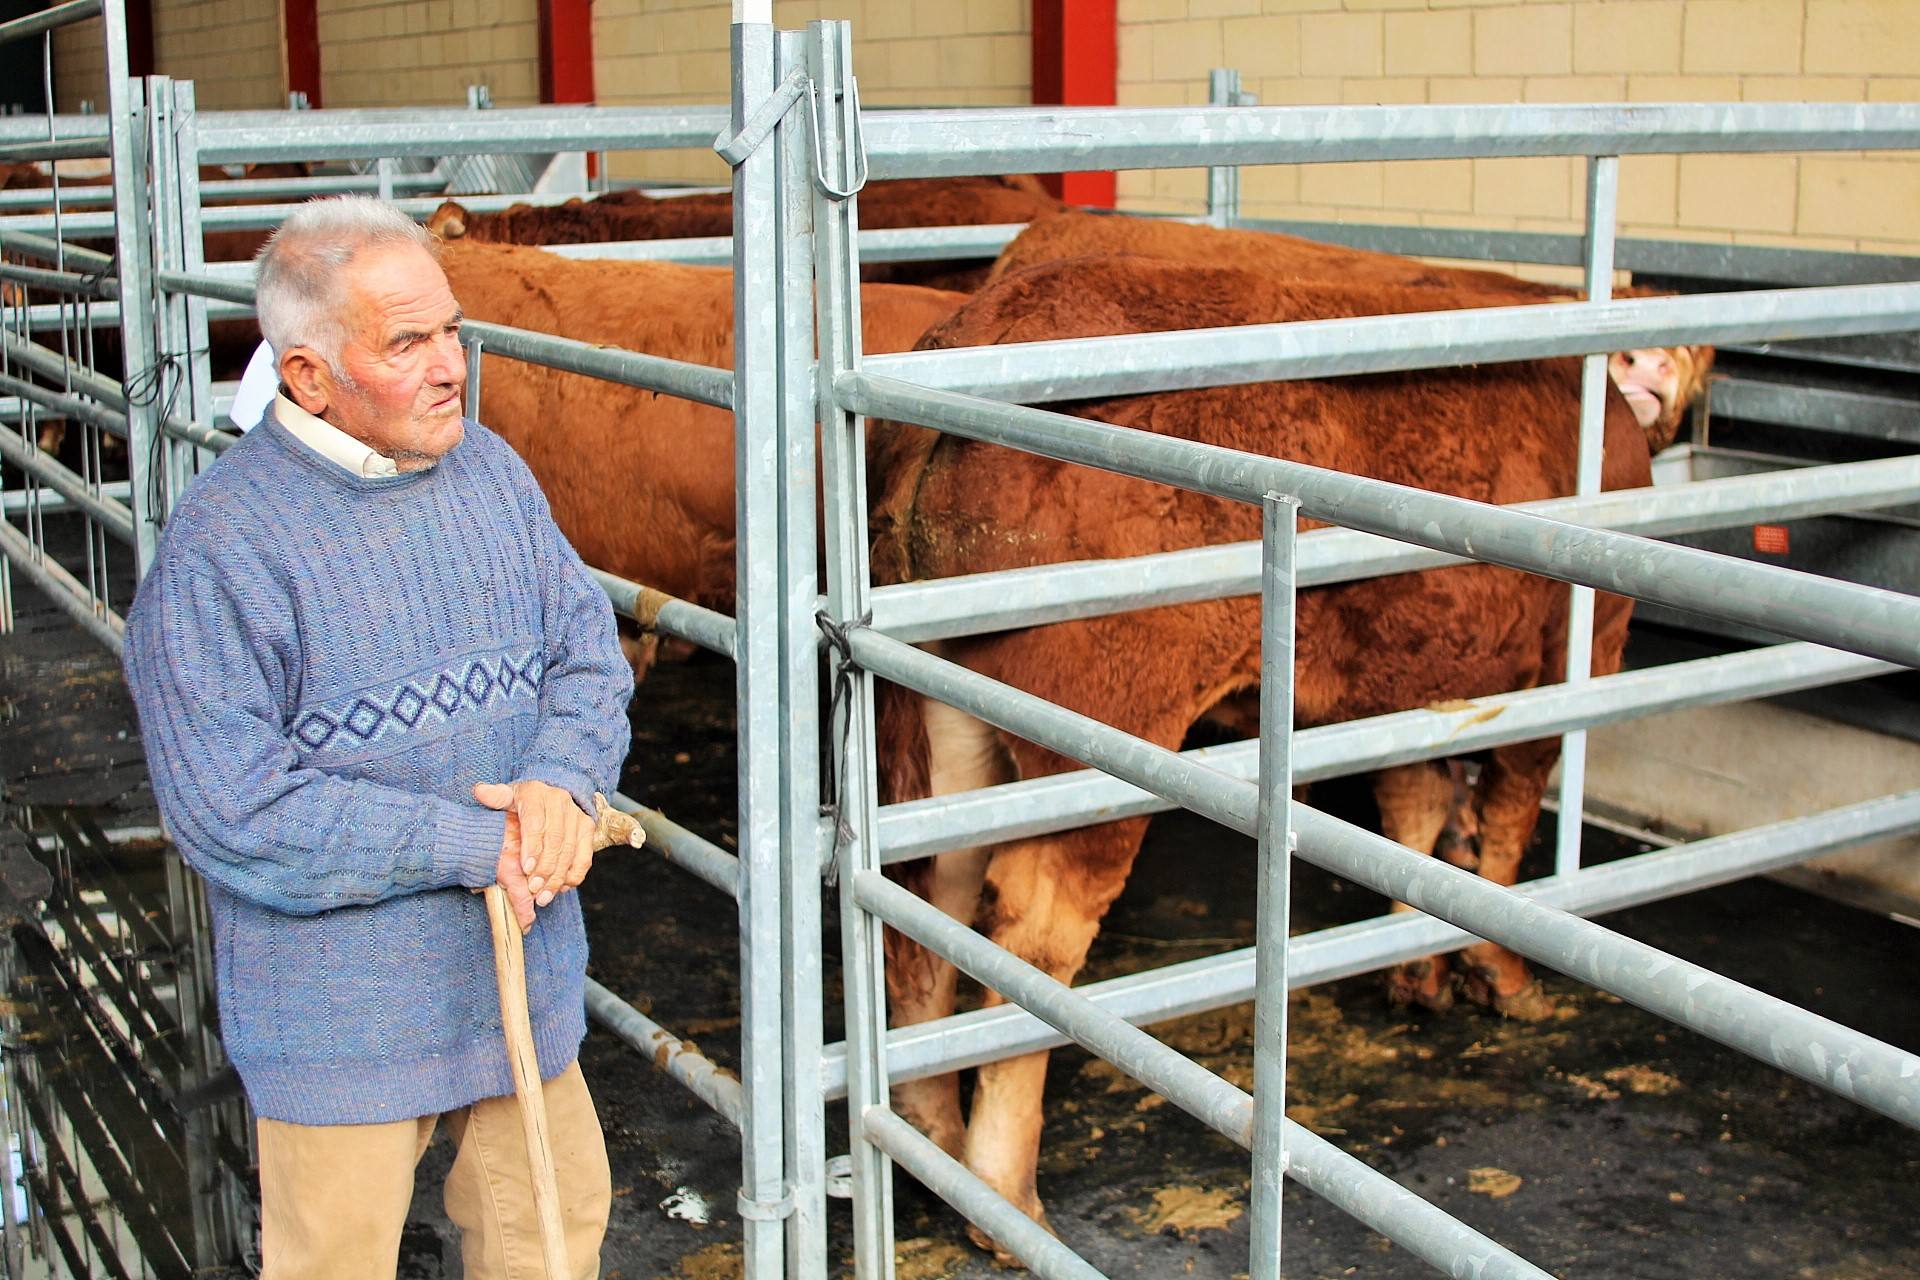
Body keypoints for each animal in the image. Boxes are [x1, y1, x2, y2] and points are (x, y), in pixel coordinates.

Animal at [867, 255, 1651, 1258]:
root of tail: (983, 325)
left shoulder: (1399, 688)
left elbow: (1416, 813)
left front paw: (1415, 965)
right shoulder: (1572, 654)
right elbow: (1507, 827)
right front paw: (1500, 975)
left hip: (950, 713)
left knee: (934, 899)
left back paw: (933, 1133)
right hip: (1101, 715)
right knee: (1032, 934)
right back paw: (1005, 1197)